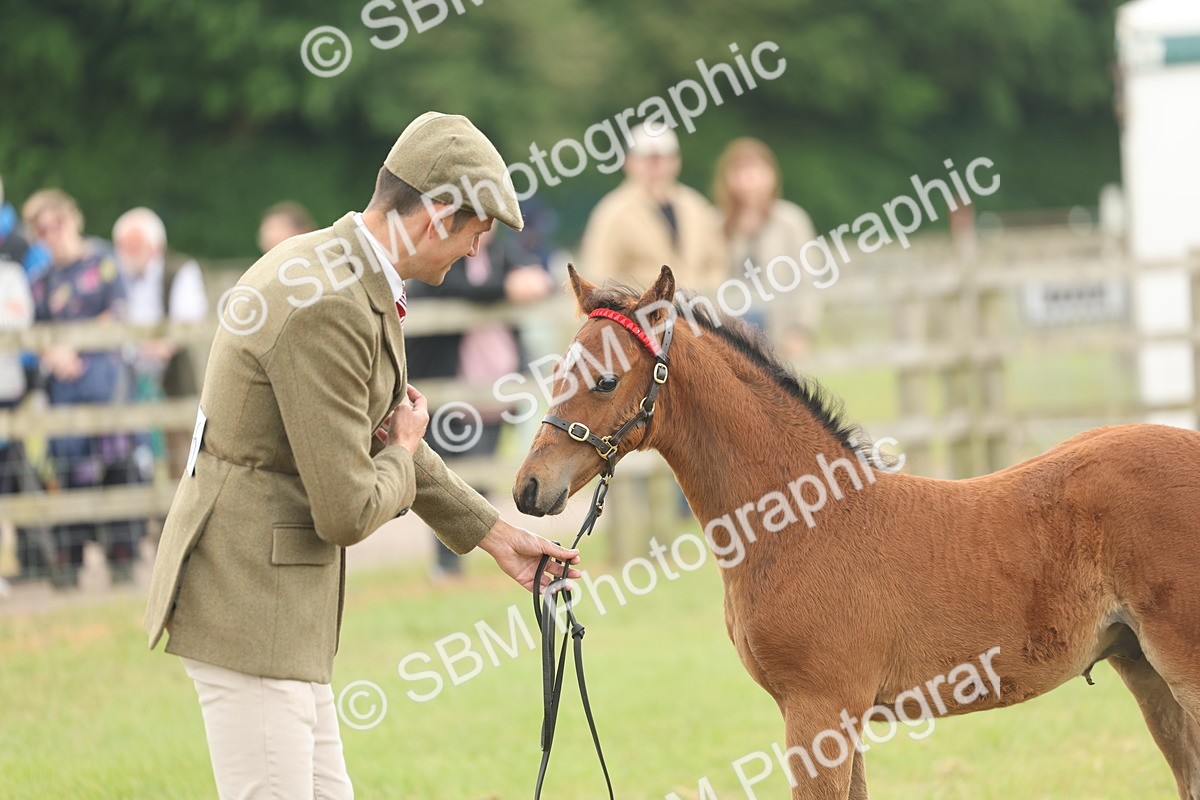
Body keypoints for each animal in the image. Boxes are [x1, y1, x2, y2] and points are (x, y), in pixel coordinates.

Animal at [513, 265, 1200, 800]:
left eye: (606, 380)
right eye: (556, 372)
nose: (529, 488)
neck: (801, 522)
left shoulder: (818, 710)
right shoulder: (840, 717)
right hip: (1143, 668)